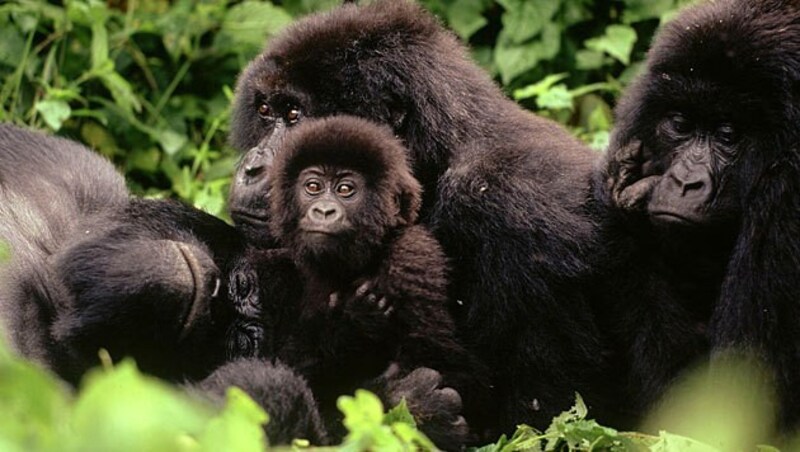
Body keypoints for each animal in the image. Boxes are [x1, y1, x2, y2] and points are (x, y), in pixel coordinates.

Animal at [227, 115, 494, 446]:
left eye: (345, 189)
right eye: (313, 187)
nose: (323, 210)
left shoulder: (411, 258)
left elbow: (452, 366)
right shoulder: (268, 266)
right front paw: (352, 326)